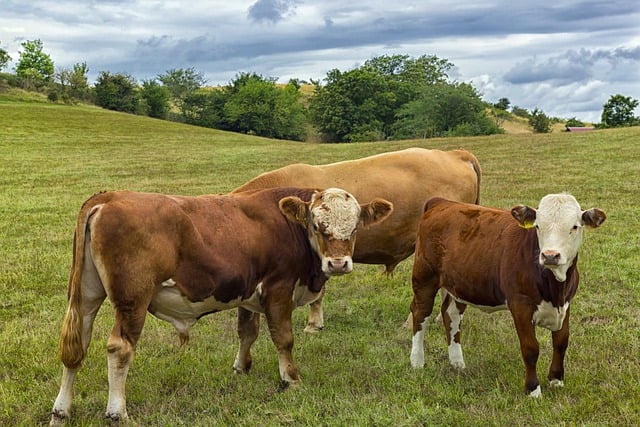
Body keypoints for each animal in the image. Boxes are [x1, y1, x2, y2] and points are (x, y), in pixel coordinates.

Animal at [51, 187, 390, 424]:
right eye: (318, 226)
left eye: (355, 228)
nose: (338, 263)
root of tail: (109, 196)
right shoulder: (278, 288)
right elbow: (283, 339)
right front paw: (291, 379)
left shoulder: (248, 293)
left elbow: (247, 332)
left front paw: (241, 367)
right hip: (133, 299)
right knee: (119, 349)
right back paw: (116, 412)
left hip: (86, 295)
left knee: (76, 347)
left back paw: (61, 412)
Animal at [410, 194, 604, 398]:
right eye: (538, 226)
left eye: (574, 227)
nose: (550, 255)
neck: (555, 287)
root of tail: (442, 202)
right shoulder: (520, 305)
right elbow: (530, 348)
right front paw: (533, 389)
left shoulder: (565, 303)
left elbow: (561, 342)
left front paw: (556, 380)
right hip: (424, 277)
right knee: (420, 313)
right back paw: (417, 361)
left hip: (458, 284)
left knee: (451, 316)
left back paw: (457, 363)